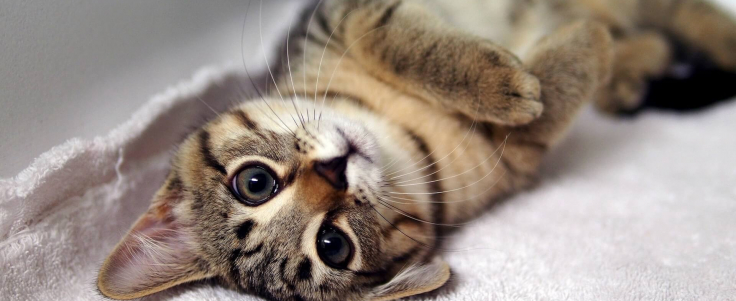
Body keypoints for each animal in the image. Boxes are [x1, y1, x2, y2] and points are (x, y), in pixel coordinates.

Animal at [96, 0, 736, 298]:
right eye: (333, 246)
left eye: (254, 182)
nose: (336, 171)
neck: (400, 126)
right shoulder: (517, 153)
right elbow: (562, 84)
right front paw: (582, 47)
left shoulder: (342, 14)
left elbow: (386, 31)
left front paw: (498, 81)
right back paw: (629, 64)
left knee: (682, 11)